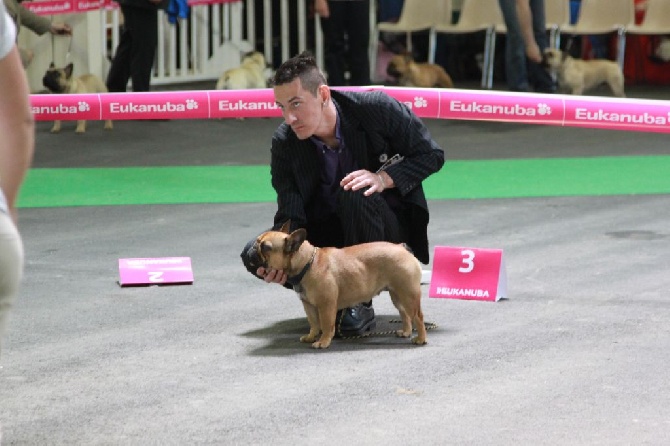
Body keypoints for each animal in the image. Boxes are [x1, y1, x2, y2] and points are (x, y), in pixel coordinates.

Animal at [247, 221, 430, 350]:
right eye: (258, 242)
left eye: (266, 247)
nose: (252, 248)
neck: (308, 263)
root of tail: (402, 248)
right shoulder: (308, 305)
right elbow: (314, 323)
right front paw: (311, 337)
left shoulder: (326, 305)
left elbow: (326, 324)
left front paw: (323, 342)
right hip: (397, 294)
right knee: (405, 314)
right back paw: (405, 332)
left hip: (408, 294)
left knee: (417, 316)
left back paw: (420, 339)